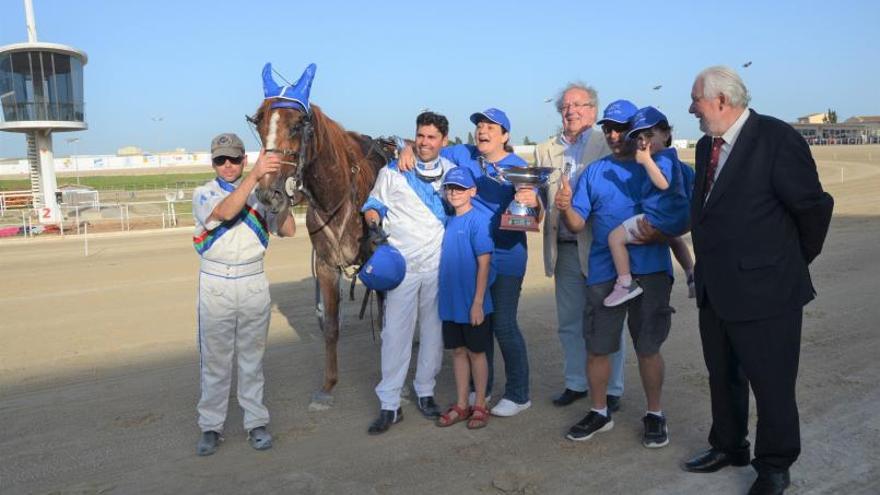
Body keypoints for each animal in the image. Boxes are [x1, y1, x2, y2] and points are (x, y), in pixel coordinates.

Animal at [249, 72, 390, 406]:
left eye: (298, 124)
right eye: (259, 123)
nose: (269, 194)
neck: (338, 196)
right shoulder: (327, 265)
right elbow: (331, 327)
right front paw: (328, 385)